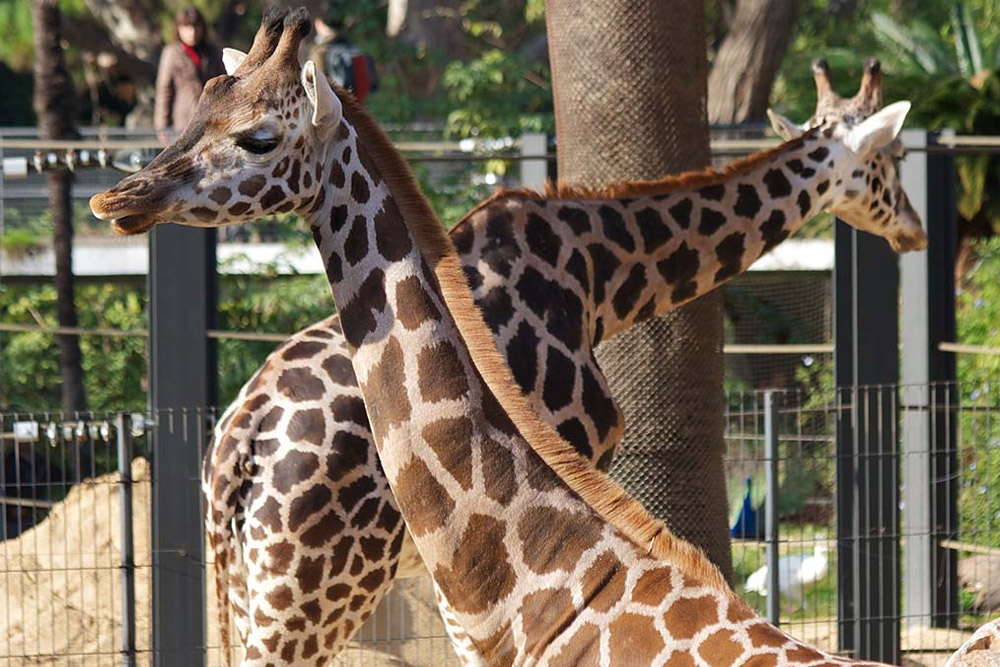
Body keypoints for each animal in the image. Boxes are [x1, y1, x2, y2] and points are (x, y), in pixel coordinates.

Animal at [90, 9, 924, 664]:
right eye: (890, 160)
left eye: (252, 129)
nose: (913, 229)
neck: (601, 267)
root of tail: (238, 447)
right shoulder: (574, 457)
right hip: (309, 593)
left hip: (253, 584)